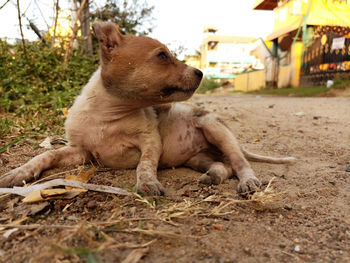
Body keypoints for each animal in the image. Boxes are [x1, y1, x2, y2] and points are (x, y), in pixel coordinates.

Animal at [0, 22, 296, 196]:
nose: (200, 72)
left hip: (215, 129)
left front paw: (147, 183)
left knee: (240, 162)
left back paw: (248, 181)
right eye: (162, 55)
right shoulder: (80, 151)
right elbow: (45, 156)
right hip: (197, 157)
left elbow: (145, 164)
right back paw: (214, 175)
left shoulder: (151, 142)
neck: (109, 116)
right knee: (224, 166)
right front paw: (17, 173)